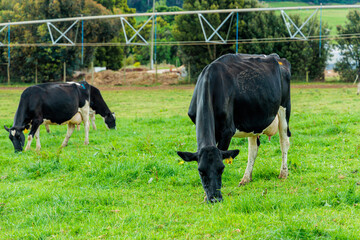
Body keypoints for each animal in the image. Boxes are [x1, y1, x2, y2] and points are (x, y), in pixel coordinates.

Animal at [176, 54, 292, 202]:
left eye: (221, 168)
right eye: (200, 171)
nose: (215, 198)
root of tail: (276, 57)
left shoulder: (227, 131)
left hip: (284, 108)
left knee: (284, 142)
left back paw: (283, 173)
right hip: (254, 121)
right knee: (253, 149)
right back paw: (246, 178)